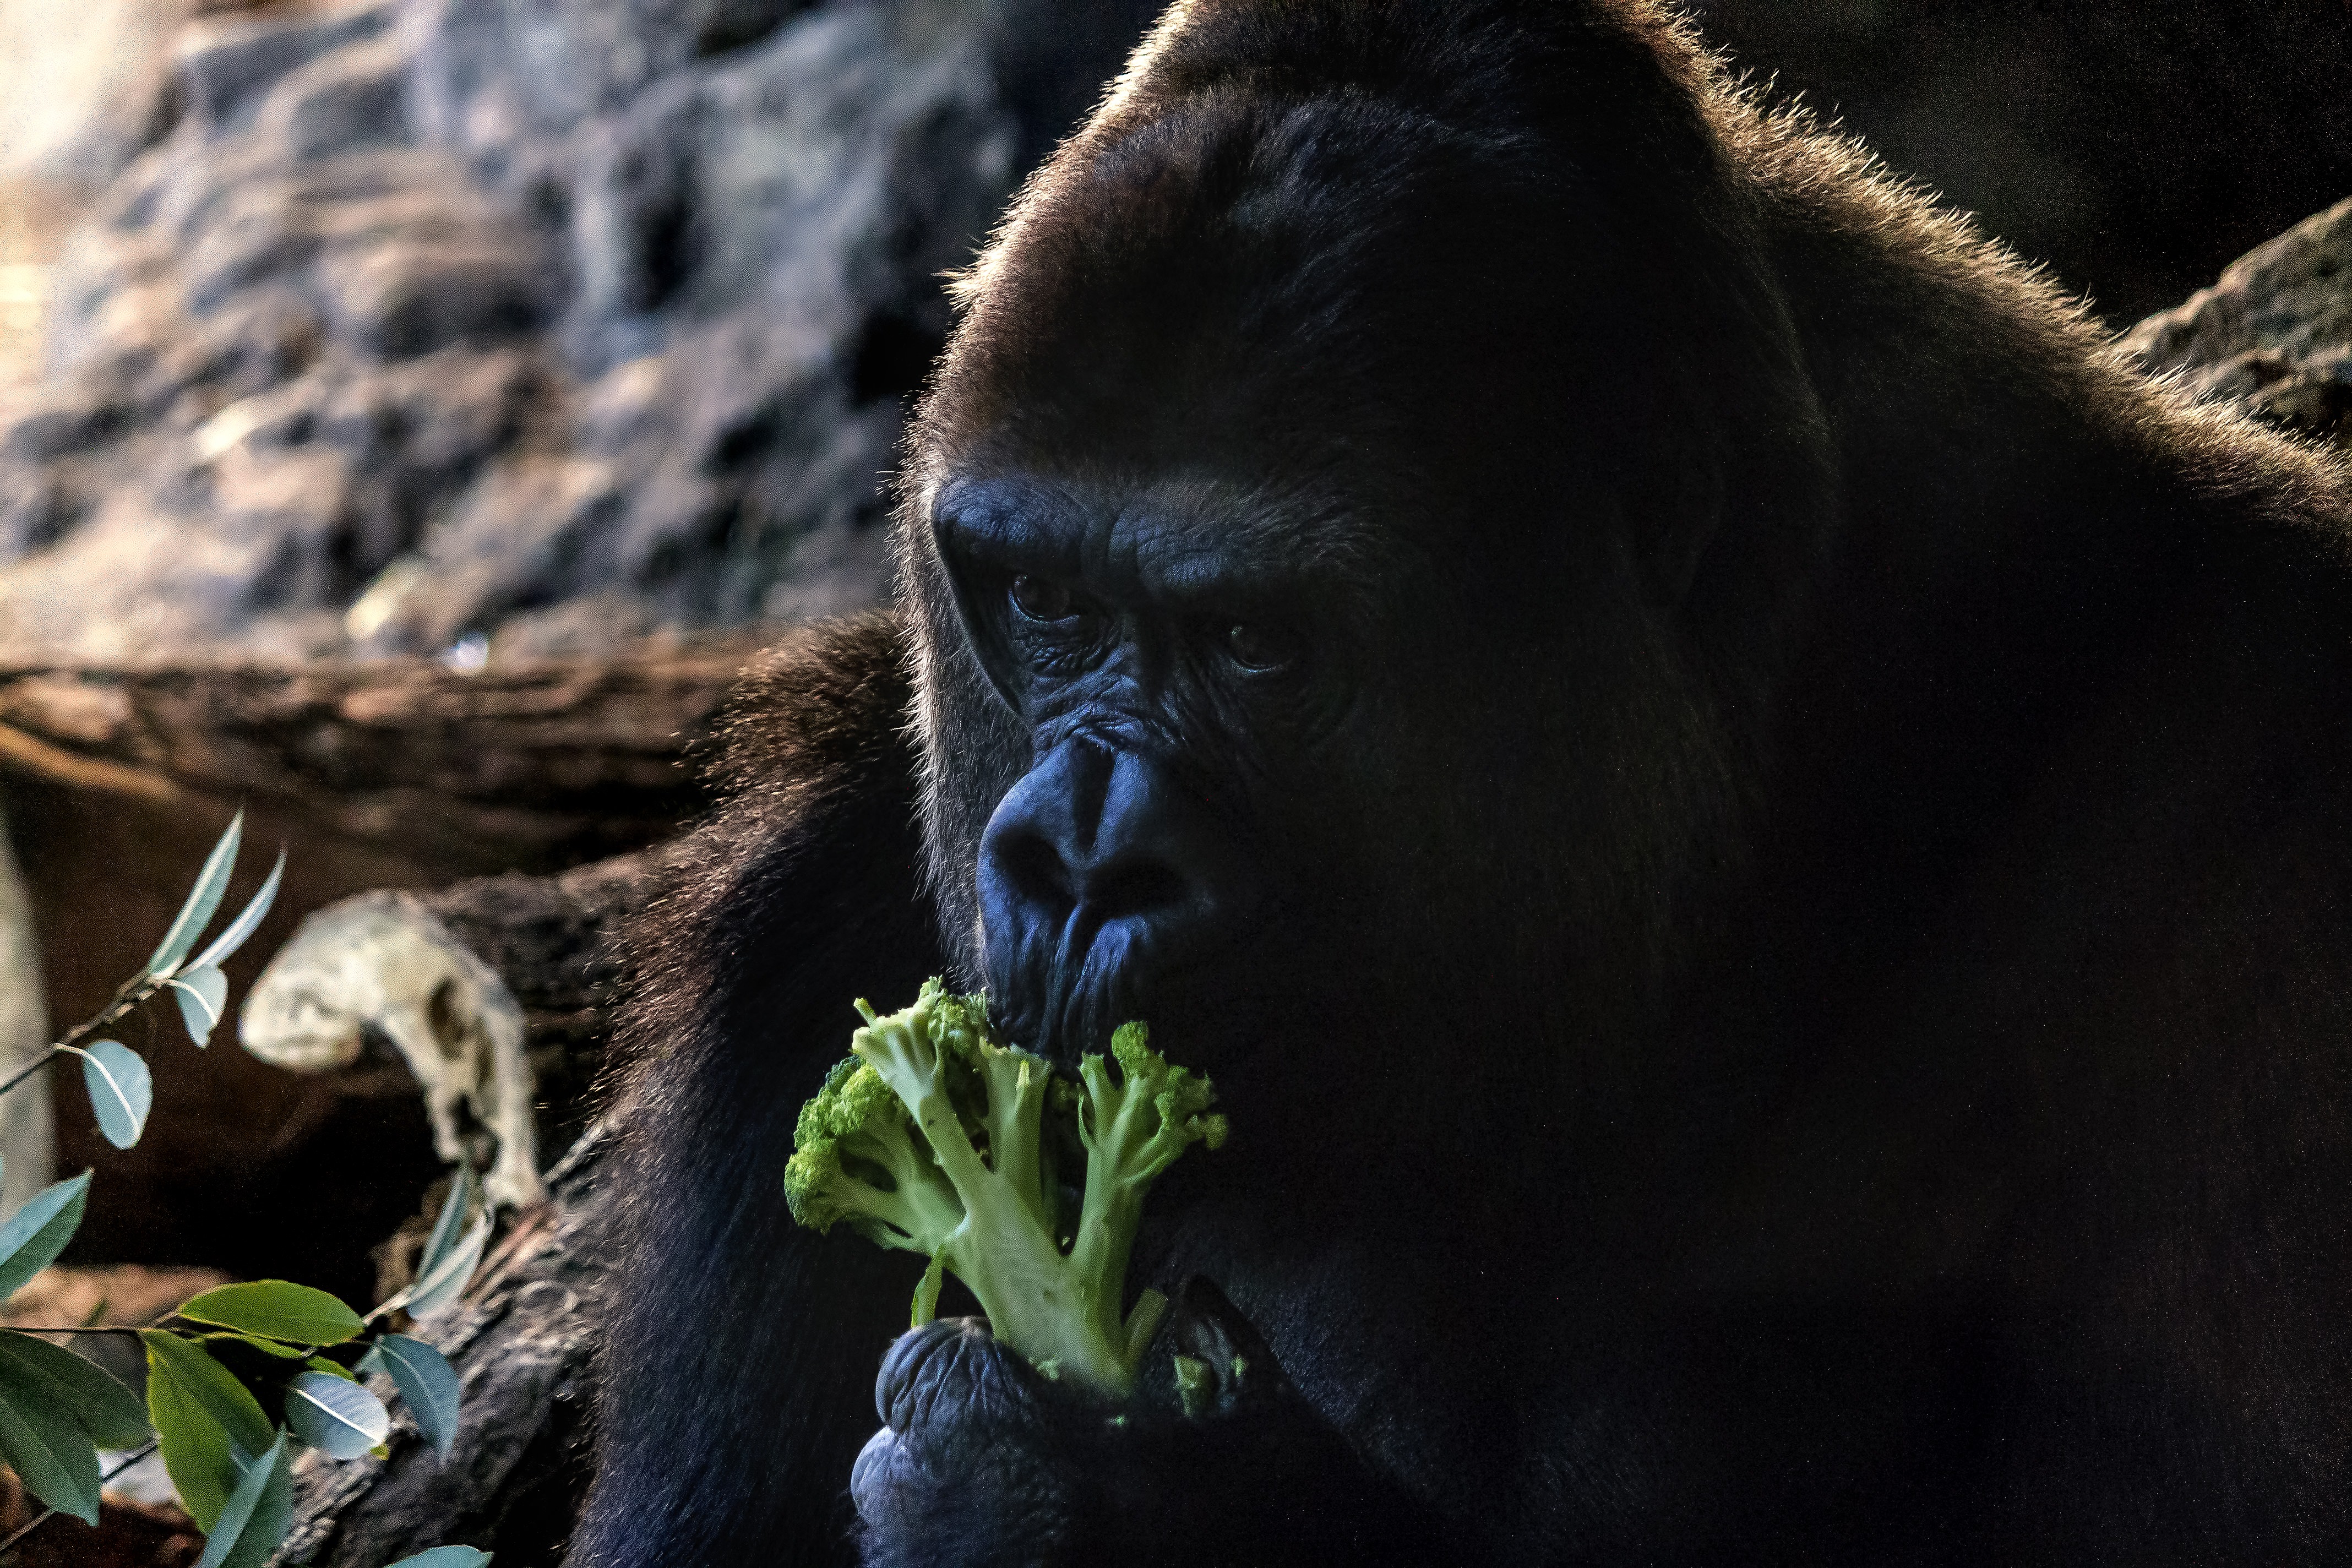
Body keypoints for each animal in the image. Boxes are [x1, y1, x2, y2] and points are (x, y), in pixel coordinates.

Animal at [564, 3, 2352, 1568]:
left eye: (1252, 641)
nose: (1081, 864)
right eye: (1046, 602)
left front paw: (1115, 1501)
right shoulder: (813, 895)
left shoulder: (2259, 780)